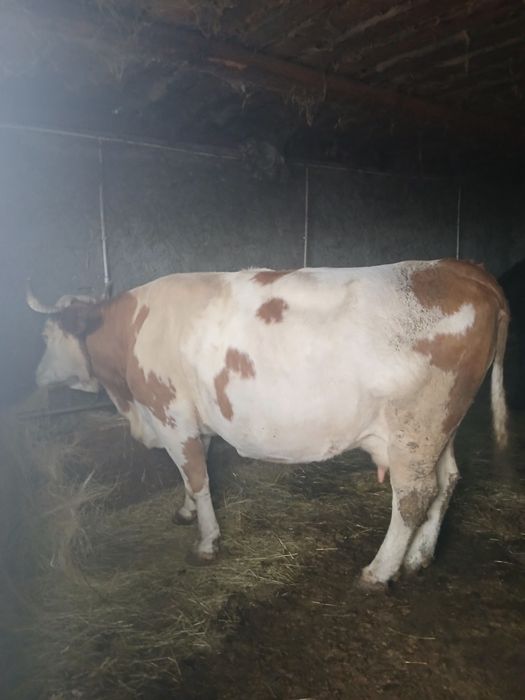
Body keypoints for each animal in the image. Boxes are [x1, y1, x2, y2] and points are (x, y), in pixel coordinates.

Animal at [27, 258, 509, 589]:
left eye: (48, 336)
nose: (35, 377)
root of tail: (463, 269)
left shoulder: (170, 414)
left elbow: (197, 476)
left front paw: (207, 541)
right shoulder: (193, 421)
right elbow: (192, 473)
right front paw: (185, 512)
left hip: (414, 430)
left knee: (413, 497)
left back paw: (379, 570)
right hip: (439, 428)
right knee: (447, 481)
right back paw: (418, 557)